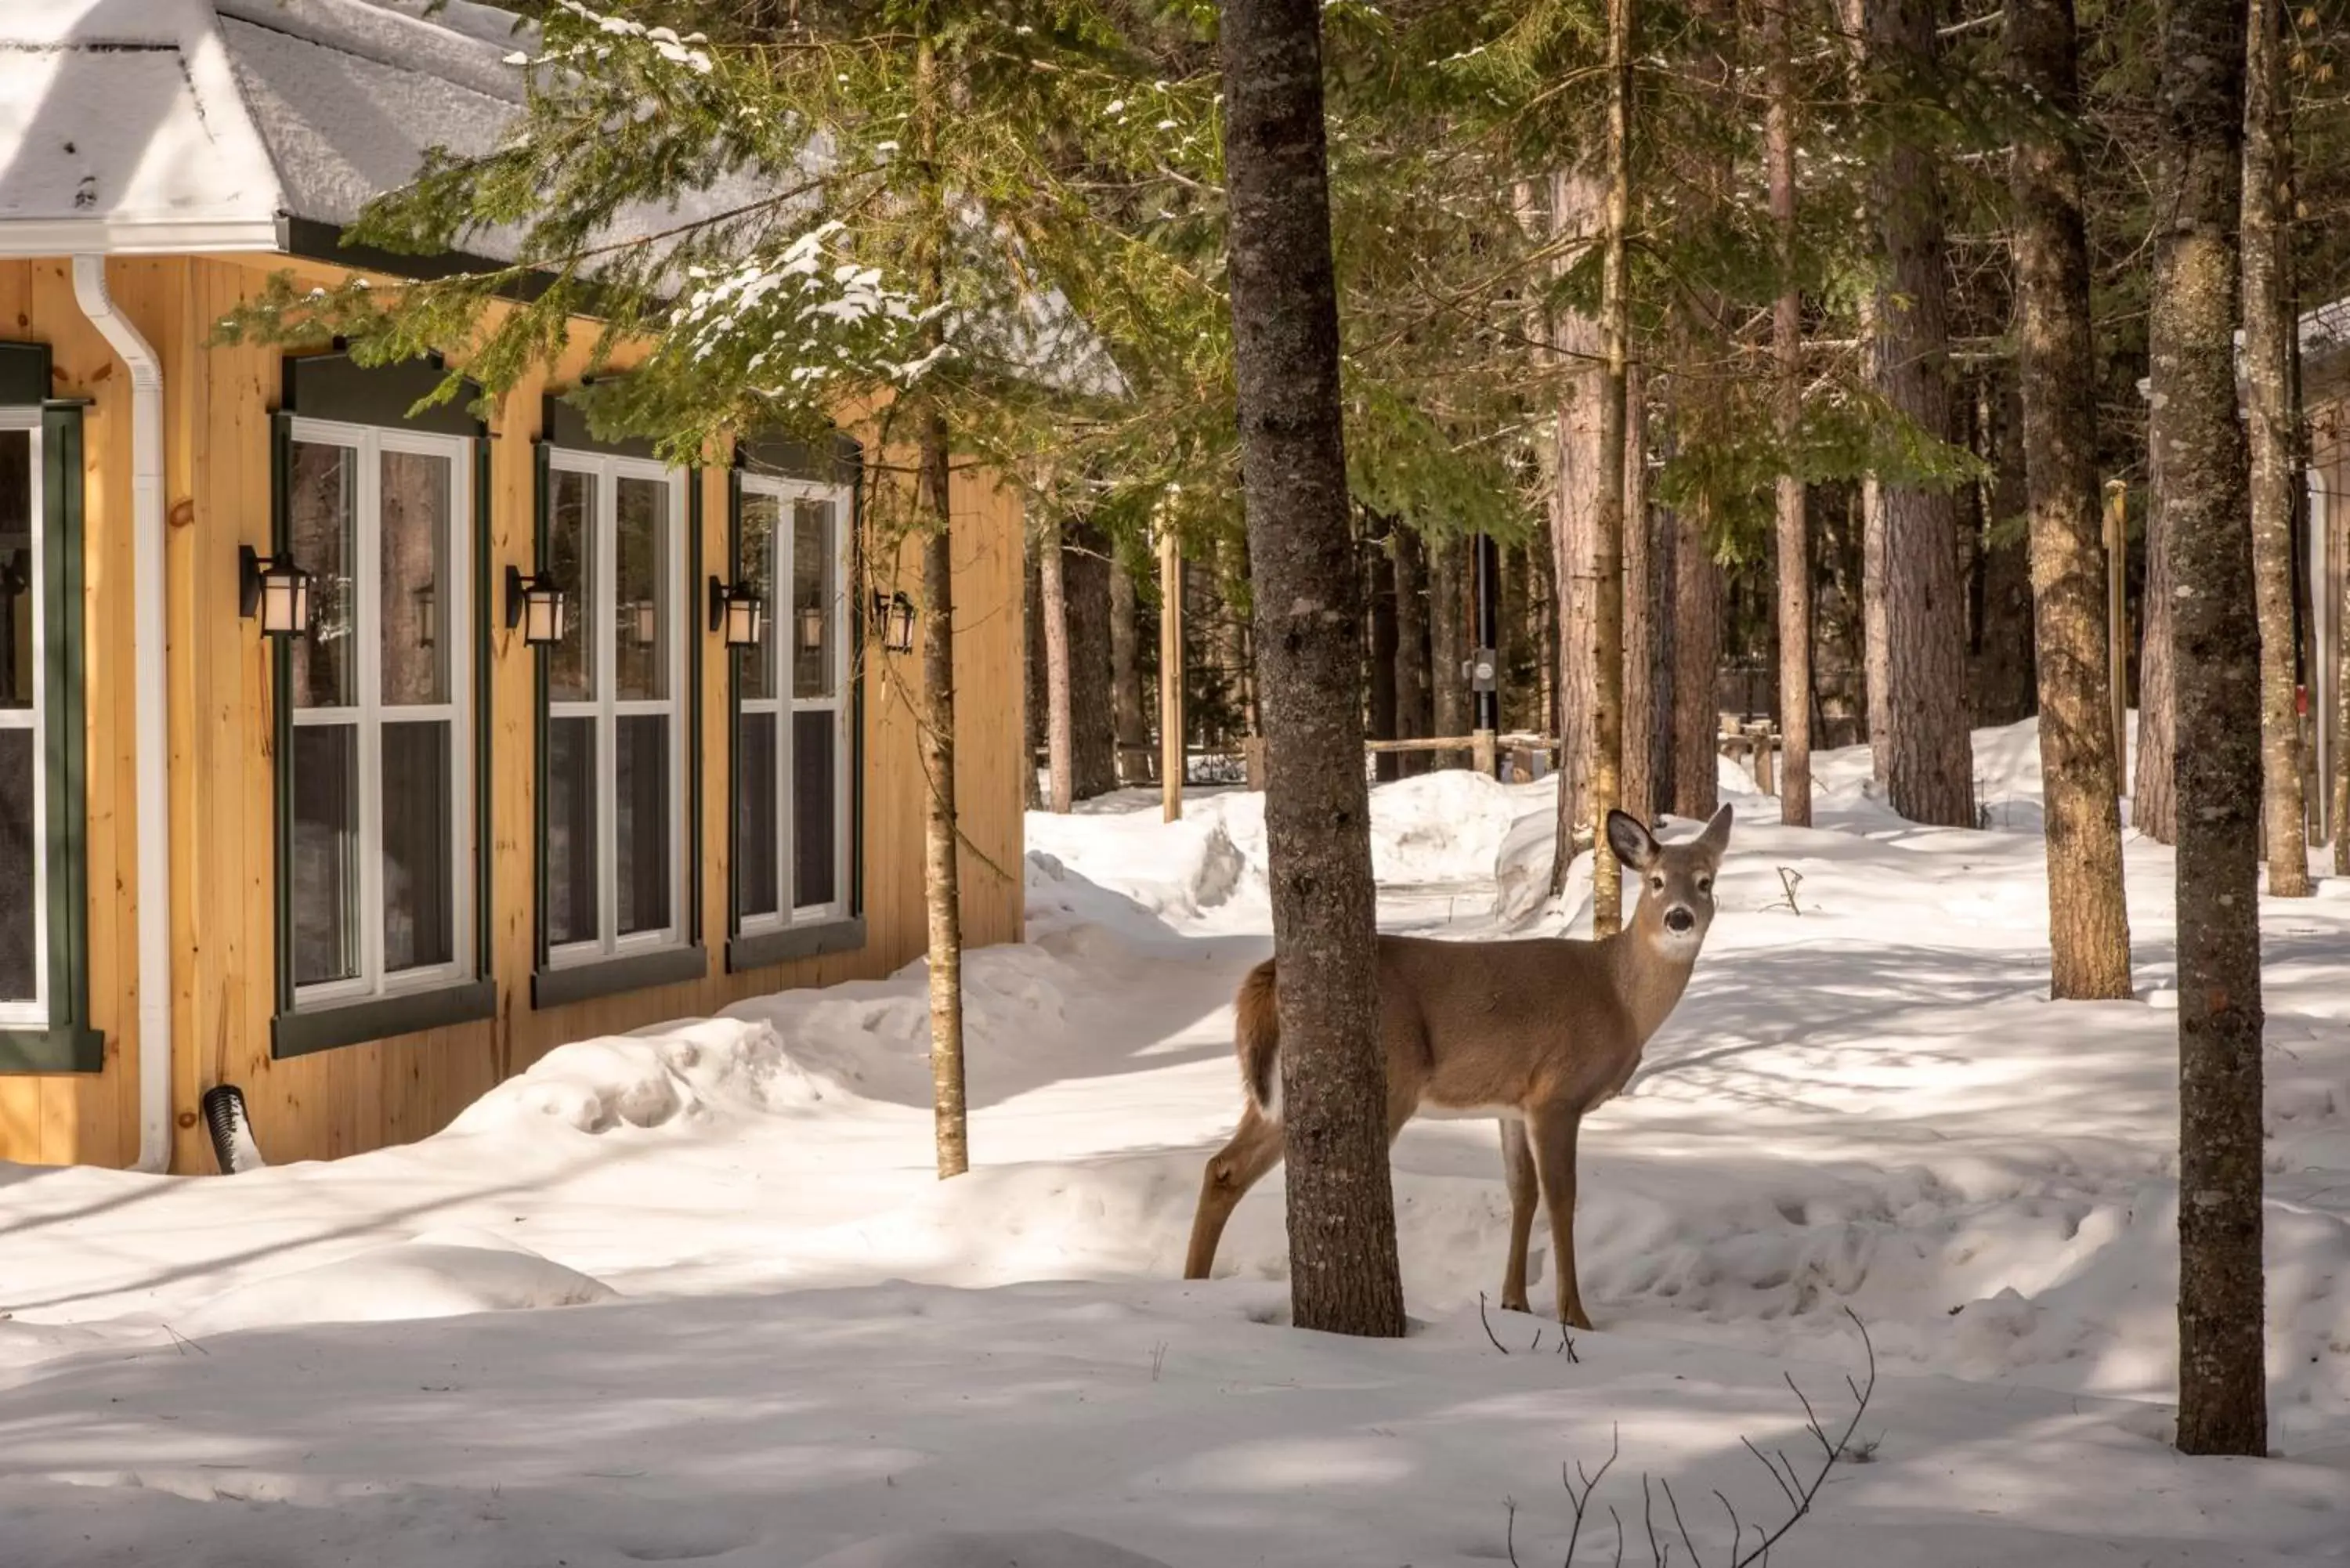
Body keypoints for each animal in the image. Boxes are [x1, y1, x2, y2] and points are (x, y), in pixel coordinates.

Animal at [1184, 804, 1739, 1335]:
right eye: (1656, 881)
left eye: (1706, 880)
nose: (1680, 918)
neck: (1618, 996)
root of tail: (1269, 972)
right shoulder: (1556, 1093)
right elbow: (1561, 1197)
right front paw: (1574, 1316)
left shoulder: (1513, 1102)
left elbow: (1522, 1192)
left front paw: (1513, 1302)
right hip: (1390, 1078)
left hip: (1276, 1088)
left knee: (1223, 1167)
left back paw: (1192, 1286)